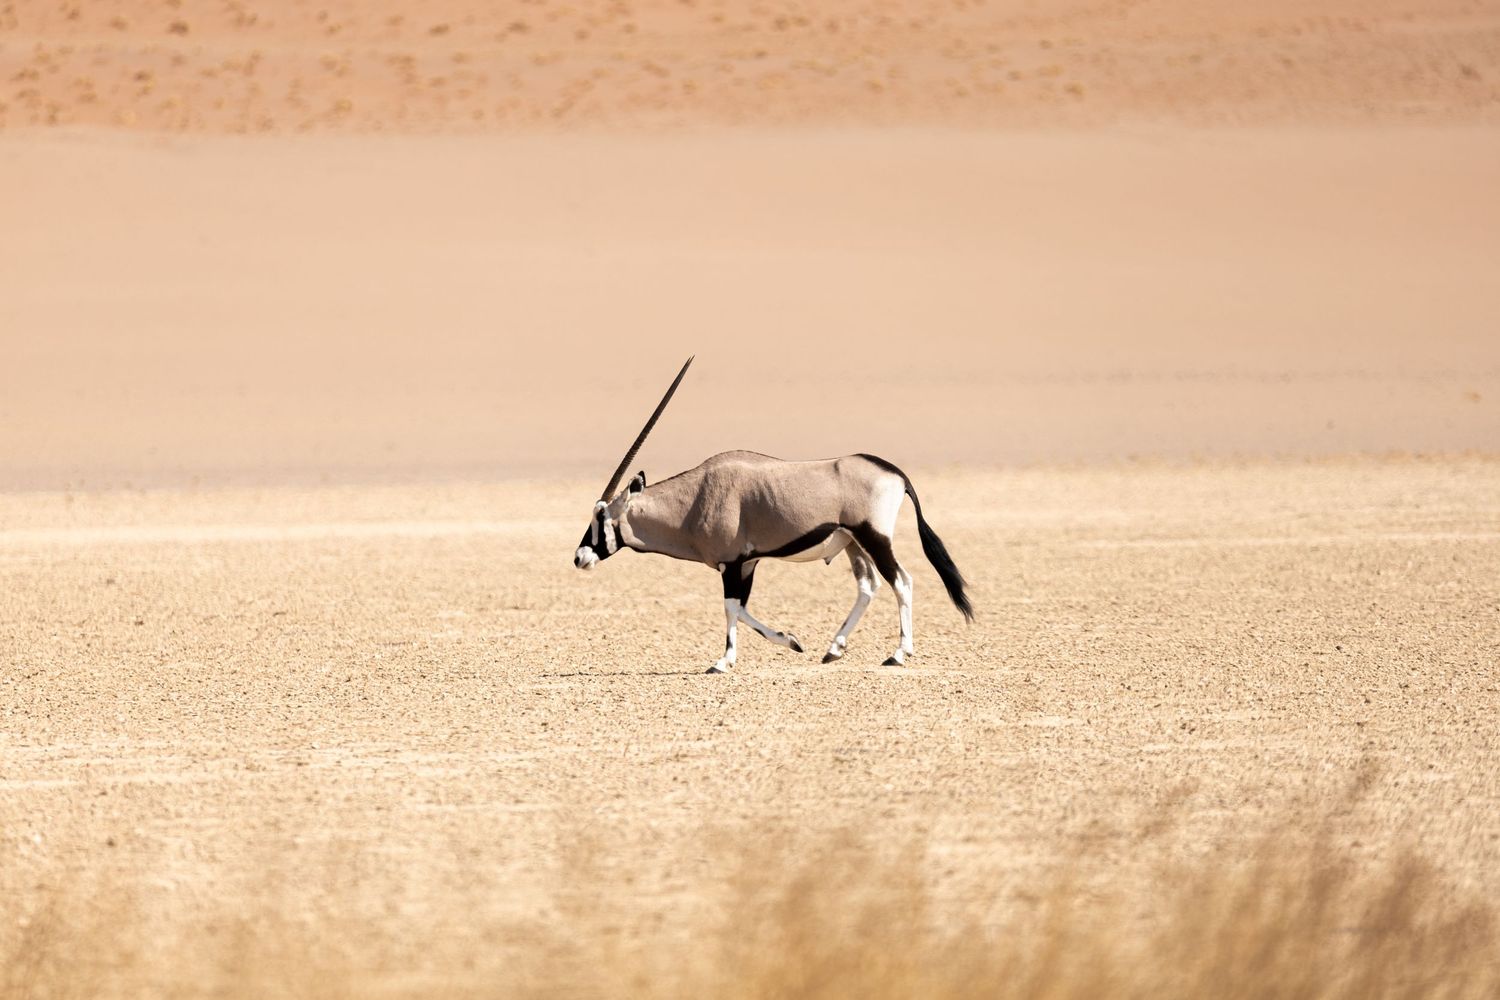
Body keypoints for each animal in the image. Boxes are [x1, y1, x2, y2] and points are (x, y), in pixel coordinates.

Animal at [574, 357, 973, 673]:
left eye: (601, 517)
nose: (579, 558)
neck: (694, 500)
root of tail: (895, 472)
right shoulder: (747, 563)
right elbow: (741, 609)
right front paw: (789, 641)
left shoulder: (733, 563)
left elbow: (731, 608)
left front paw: (728, 660)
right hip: (852, 543)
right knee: (868, 586)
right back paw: (834, 649)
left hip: (873, 537)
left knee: (901, 581)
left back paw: (898, 654)